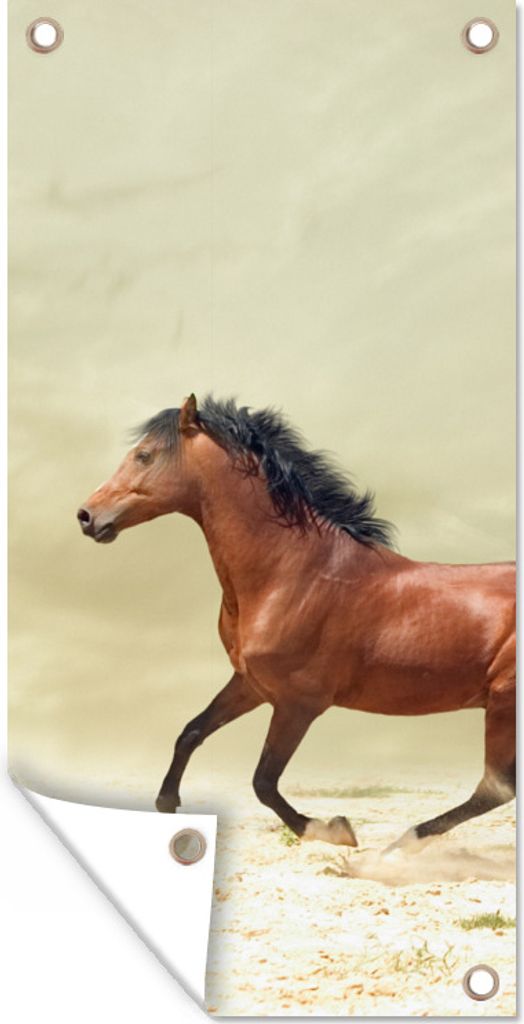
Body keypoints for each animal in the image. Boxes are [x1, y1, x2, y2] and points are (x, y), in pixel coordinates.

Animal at [77, 394, 516, 848]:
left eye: (144, 455)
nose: (87, 516)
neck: (293, 573)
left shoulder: (298, 704)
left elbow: (263, 782)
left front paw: (331, 829)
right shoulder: (250, 684)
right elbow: (191, 733)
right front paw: (167, 803)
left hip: (503, 703)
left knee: (495, 787)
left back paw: (404, 842)